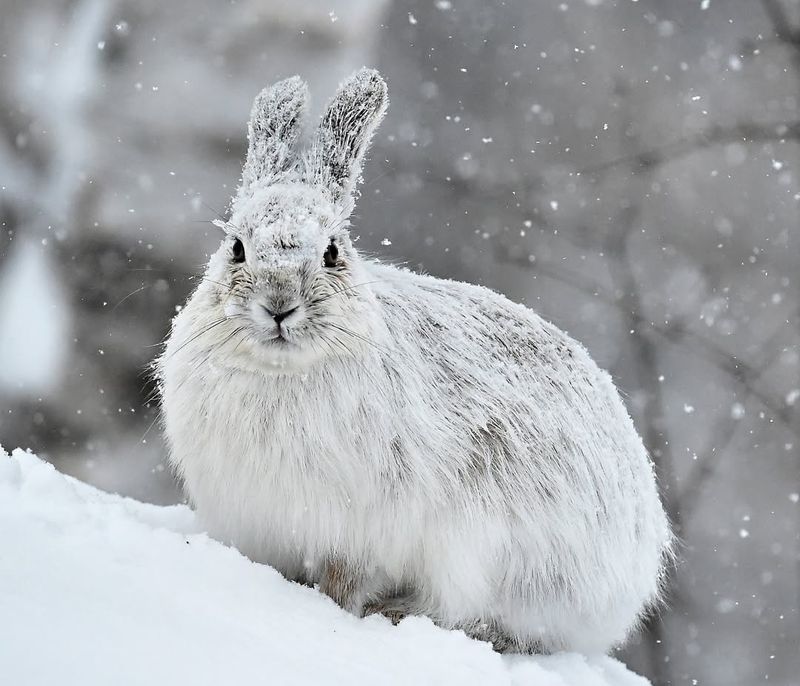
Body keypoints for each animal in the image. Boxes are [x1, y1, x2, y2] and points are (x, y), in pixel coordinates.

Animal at [158, 67, 672, 654]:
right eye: (237, 248)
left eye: (332, 252)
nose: (279, 305)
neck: (280, 371)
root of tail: (638, 563)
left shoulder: (357, 536)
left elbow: (343, 583)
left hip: (500, 556)